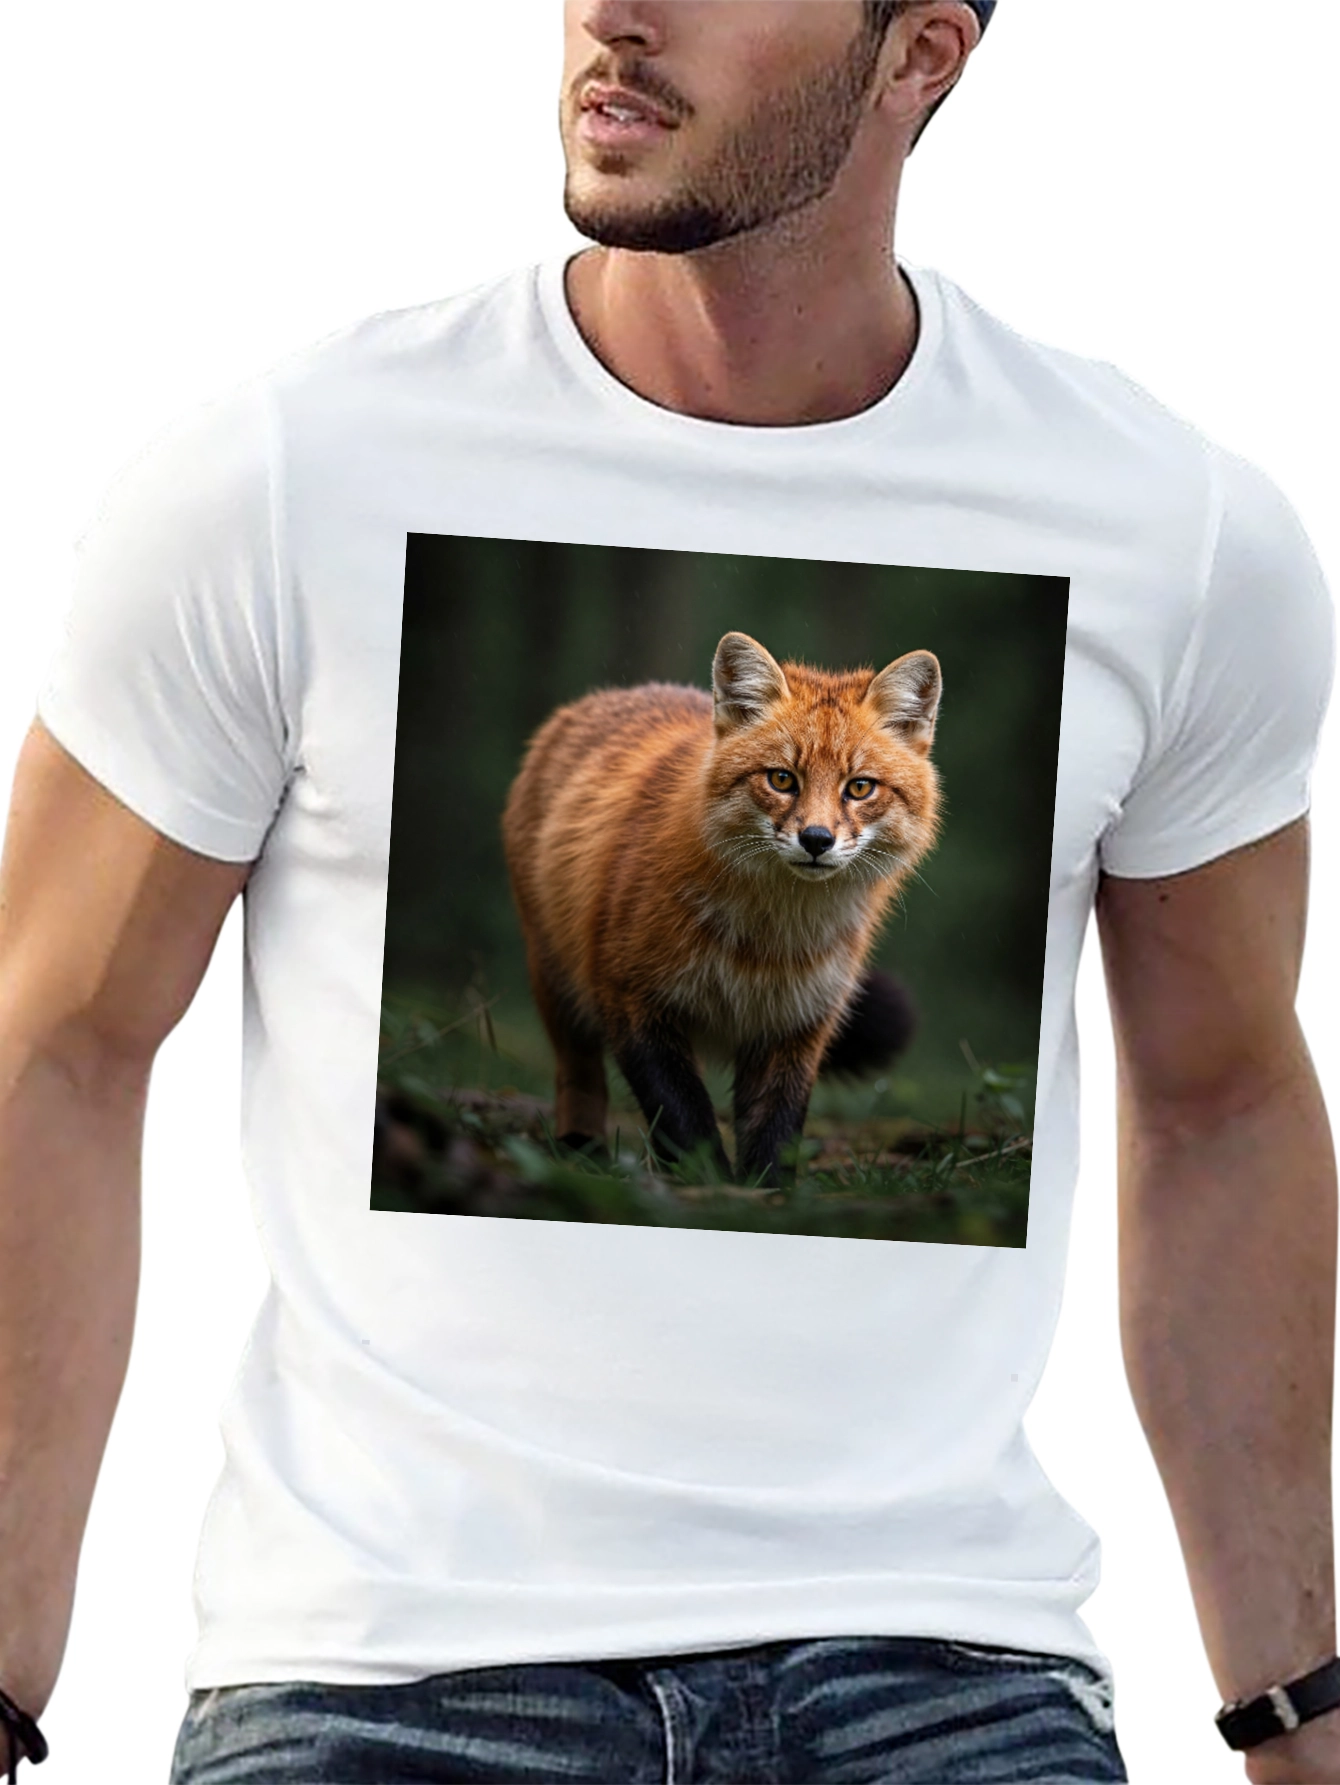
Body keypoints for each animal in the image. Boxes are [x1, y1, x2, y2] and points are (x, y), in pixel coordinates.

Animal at [500, 630, 943, 1189]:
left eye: (859, 787)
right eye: (782, 779)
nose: (816, 840)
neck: (765, 946)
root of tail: (612, 695)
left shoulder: (798, 1022)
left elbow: (776, 1128)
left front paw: (766, 1194)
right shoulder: (629, 997)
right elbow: (683, 1115)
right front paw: (708, 1184)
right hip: (557, 983)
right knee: (577, 1074)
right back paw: (582, 1148)